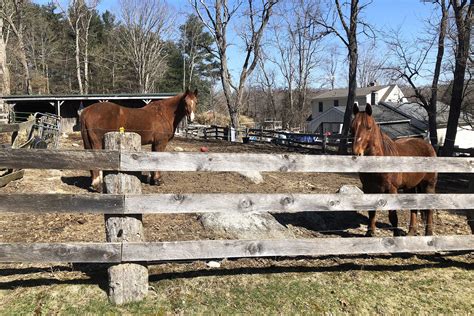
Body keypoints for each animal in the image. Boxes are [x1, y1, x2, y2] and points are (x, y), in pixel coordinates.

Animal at [352, 103, 436, 237]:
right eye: (352, 128)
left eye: (369, 128)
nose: (356, 153)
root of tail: (428, 145)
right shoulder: (368, 188)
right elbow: (371, 212)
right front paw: (370, 233)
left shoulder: (391, 189)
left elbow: (393, 215)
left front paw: (396, 235)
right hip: (410, 187)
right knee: (414, 208)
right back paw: (411, 232)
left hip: (429, 184)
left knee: (429, 208)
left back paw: (428, 233)